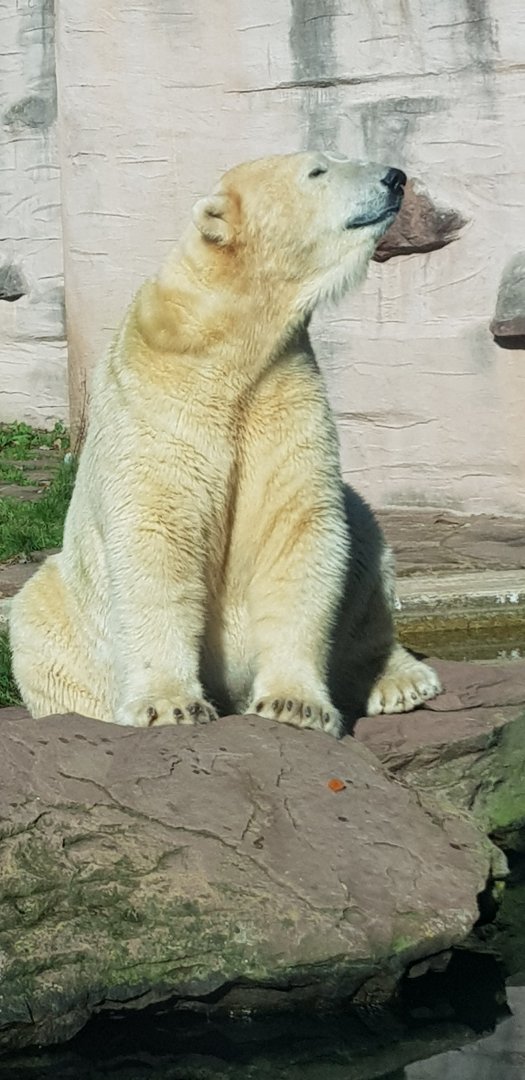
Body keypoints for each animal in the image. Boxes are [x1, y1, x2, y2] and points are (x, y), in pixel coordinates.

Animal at [9, 151, 441, 736]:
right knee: (38, 624)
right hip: (63, 612)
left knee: (365, 550)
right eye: (318, 171)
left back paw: (401, 681)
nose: (395, 177)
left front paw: (295, 705)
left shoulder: (284, 385)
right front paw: (169, 705)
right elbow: (157, 534)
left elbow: (296, 524)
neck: (229, 338)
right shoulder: (161, 394)